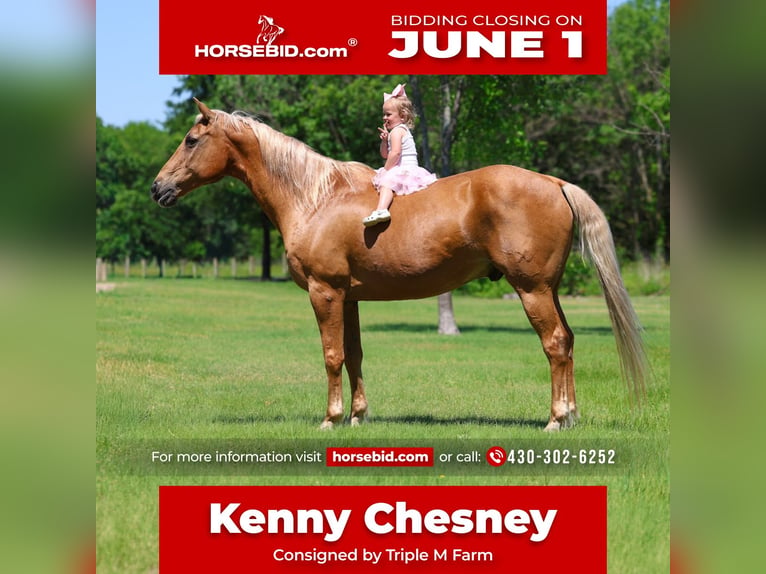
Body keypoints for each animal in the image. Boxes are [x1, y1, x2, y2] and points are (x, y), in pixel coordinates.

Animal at [152, 98, 648, 431]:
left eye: (191, 140)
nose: (158, 188)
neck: (315, 198)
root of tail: (553, 181)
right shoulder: (348, 297)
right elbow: (353, 354)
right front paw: (357, 416)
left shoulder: (324, 292)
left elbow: (331, 356)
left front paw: (331, 418)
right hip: (549, 288)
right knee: (569, 342)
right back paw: (571, 416)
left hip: (532, 290)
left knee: (555, 344)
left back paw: (555, 419)